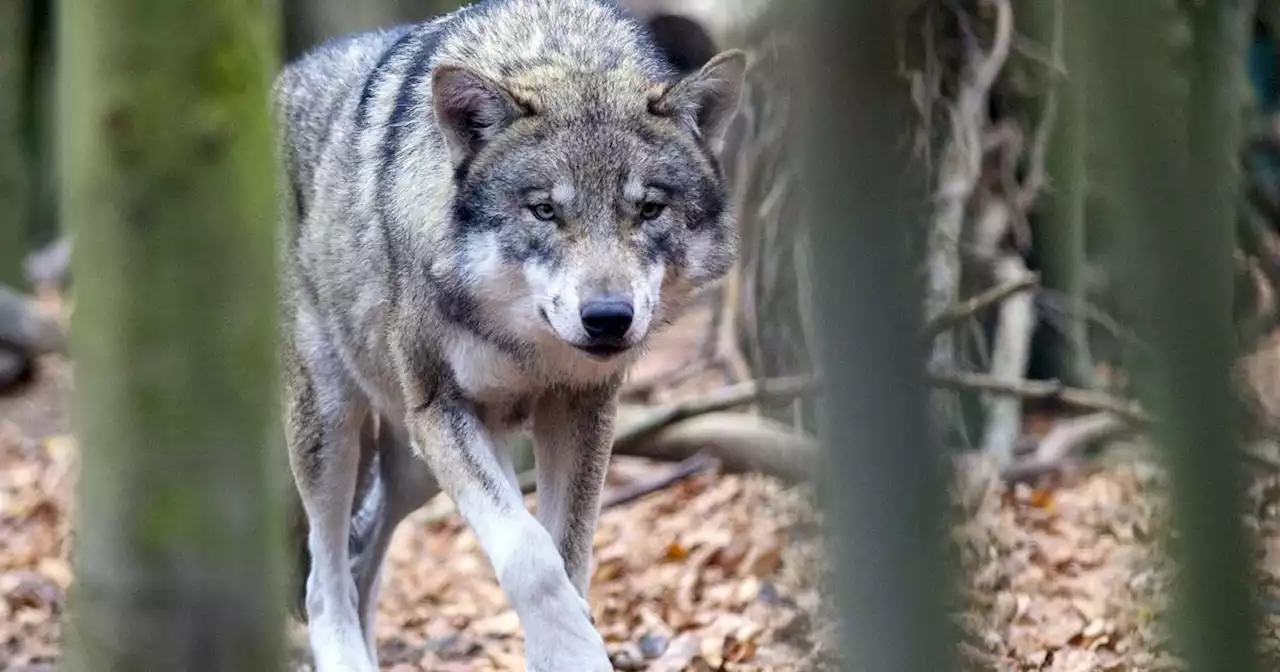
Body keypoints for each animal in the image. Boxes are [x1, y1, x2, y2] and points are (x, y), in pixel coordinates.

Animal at [275, 2, 747, 665]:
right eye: (545, 210)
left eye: (648, 209)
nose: (608, 317)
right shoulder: (442, 410)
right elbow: (530, 555)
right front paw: (576, 655)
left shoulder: (581, 407)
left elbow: (567, 556)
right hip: (335, 424)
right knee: (324, 579)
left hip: (413, 467)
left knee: (362, 559)